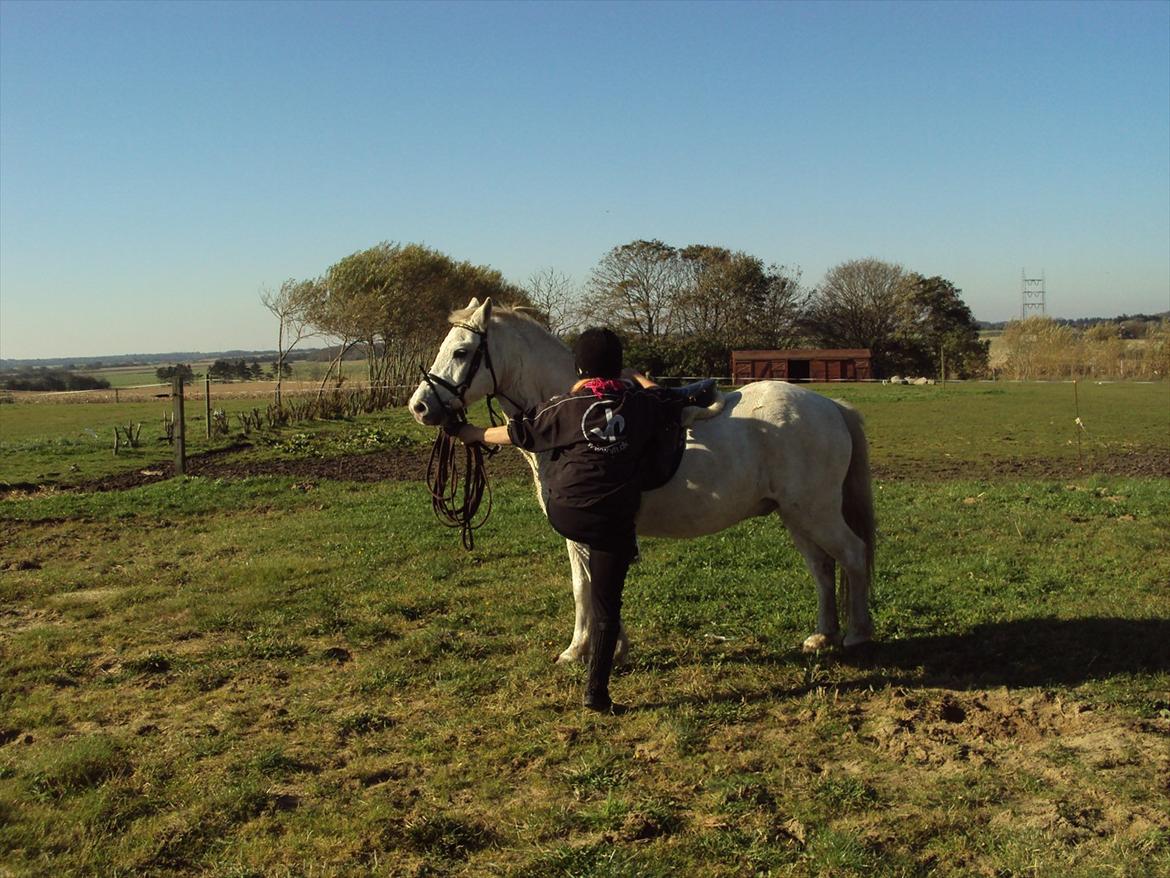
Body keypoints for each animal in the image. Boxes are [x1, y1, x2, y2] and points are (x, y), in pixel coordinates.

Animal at [407, 299, 875, 664]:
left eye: (462, 351)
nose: (420, 406)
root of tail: (831, 406)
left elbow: (585, 587)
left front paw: (580, 650)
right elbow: (590, 585)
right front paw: (608, 647)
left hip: (814, 513)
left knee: (852, 555)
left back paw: (856, 634)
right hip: (797, 517)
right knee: (822, 567)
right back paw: (823, 636)